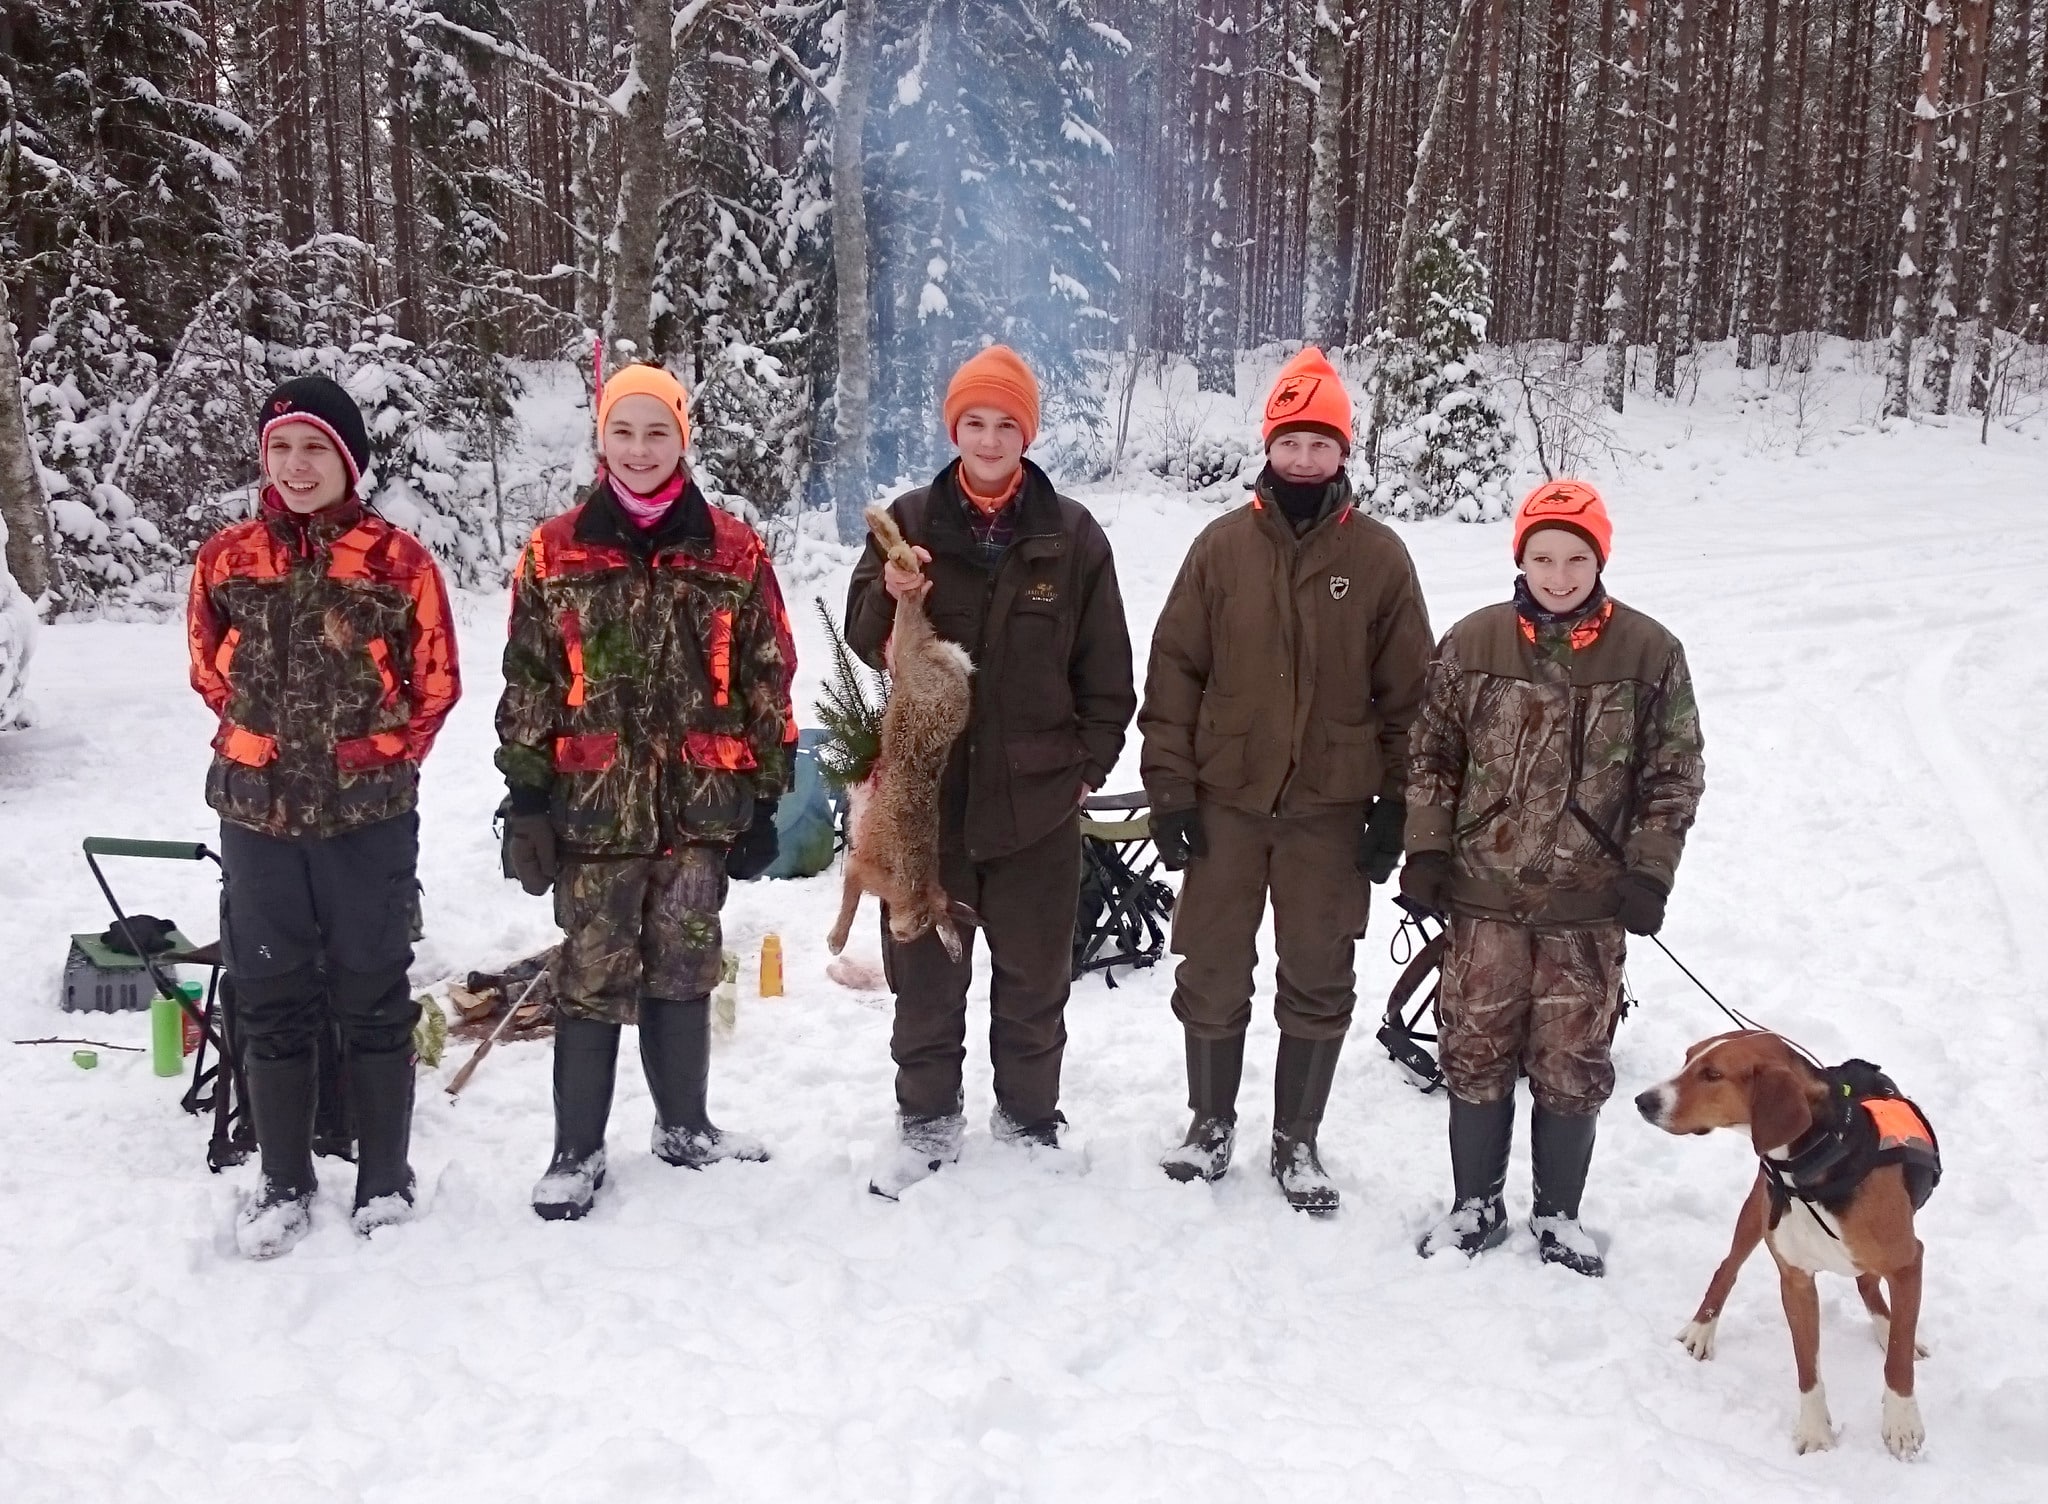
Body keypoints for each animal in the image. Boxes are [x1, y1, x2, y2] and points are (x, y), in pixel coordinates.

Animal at [1630, 1036, 1933, 1458]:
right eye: (1687, 1058)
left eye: (1713, 1074)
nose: (1643, 1101)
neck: (1814, 1168)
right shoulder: (1796, 1280)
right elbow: (1807, 1367)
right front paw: (1815, 1432)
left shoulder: (1908, 1263)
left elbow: (1899, 1359)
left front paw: (1902, 1423)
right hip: (1756, 1214)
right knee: (1727, 1267)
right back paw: (1701, 1330)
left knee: (1871, 1288)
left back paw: (1886, 1326)